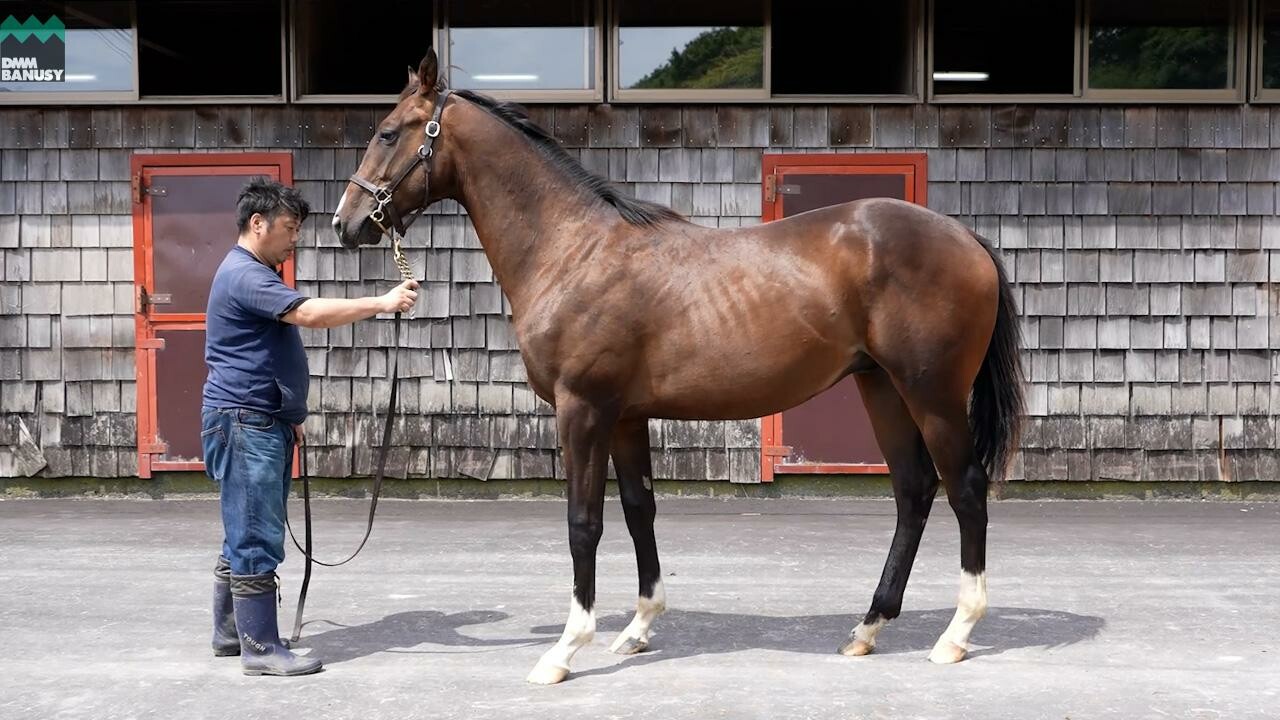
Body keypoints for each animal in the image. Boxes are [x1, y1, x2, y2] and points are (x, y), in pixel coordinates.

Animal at [332, 50, 1029, 681]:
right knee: (913, 490)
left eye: (388, 132)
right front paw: (638, 629)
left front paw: (564, 649)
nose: (345, 223)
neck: (573, 248)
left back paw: (955, 635)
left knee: (966, 489)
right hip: (880, 387)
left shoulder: (583, 410)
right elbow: (639, 508)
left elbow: (583, 523)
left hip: (931, 393)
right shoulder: (623, 416)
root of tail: (965, 237)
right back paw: (867, 628)